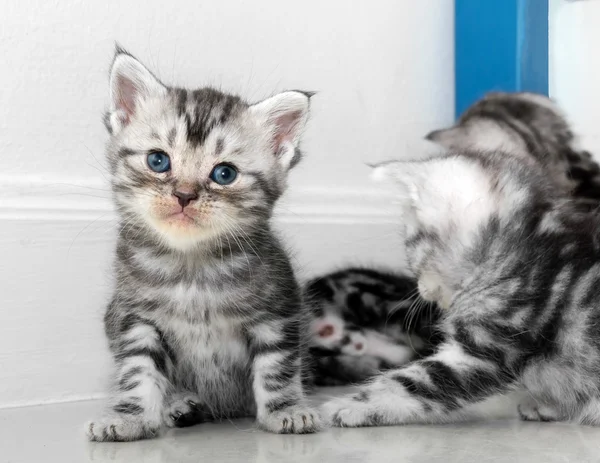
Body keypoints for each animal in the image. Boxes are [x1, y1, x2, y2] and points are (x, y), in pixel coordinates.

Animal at [86, 49, 322, 444]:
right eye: (158, 160)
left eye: (224, 174)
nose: (184, 195)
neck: (192, 268)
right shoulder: (133, 317)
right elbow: (137, 372)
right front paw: (130, 418)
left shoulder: (279, 312)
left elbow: (277, 368)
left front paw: (286, 411)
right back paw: (179, 403)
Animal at [324, 150, 600, 430]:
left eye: (410, 246)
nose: (419, 288)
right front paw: (548, 406)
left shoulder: (488, 347)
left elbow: (414, 383)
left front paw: (348, 406)